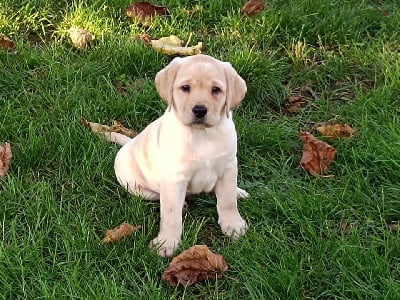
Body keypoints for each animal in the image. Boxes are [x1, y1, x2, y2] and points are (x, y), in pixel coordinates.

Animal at [111, 55, 247, 256]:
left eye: (216, 90)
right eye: (185, 88)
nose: (199, 110)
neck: (202, 135)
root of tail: (129, 142)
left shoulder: (229, 166)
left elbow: (228, 200)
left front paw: (233, 224)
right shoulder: (174, 178)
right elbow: (170, 214)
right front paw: (166, 242)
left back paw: (238, 192)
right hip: (134, 184)